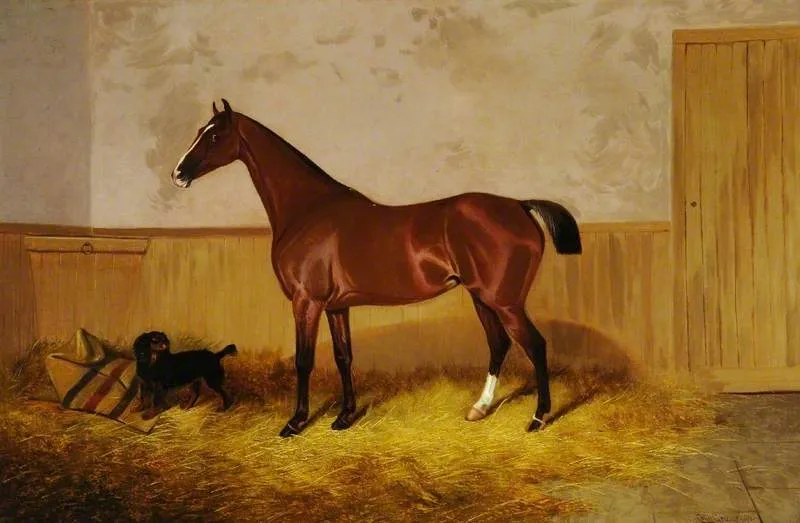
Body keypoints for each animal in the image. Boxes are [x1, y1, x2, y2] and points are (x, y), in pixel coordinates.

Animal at [170, 99, 582, 437]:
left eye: (214, 135)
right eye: (200, 131)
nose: (178, 174)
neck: (307, 209)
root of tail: (519, 205)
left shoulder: (307, 302)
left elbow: (304, 361)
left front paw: (295, 423)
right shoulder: (336, 306)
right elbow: (343, 357)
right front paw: (344, 417)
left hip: (504, 301)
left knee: (535, 345)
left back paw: (538, 418)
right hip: (482, 297)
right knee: (499, 344)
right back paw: (479, 409)